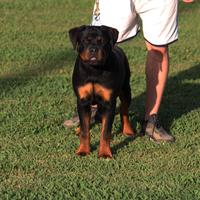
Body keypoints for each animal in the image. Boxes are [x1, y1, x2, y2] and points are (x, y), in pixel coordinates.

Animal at [68, 25, 134, 158]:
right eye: (84, 41)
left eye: (102, 41)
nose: (93, 49)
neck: (94, 70)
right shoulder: (82, 101)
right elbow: (85, 130)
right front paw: (83, 150)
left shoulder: (109, 103)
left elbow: (106, 131)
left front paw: (105, 153)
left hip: (126, 90)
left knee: (124, 110)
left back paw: (128, 130)